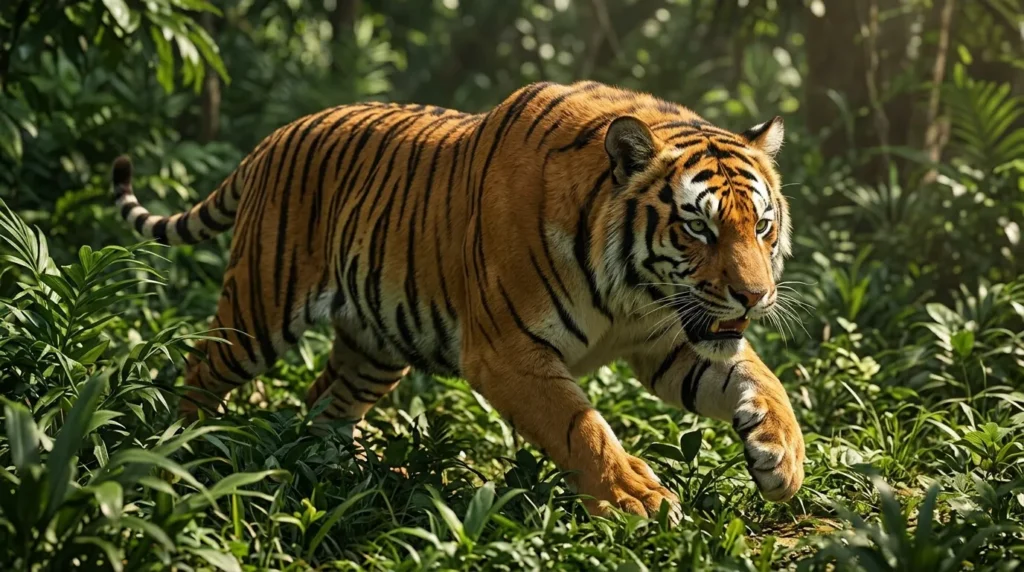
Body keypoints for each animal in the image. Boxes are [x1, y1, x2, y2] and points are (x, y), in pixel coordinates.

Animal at [111, 80, 805, 518]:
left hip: (377, 343)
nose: (755, 295)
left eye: (761, 226)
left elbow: (763, 380)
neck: (633, 292)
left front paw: (783, 457)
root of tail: (278, 134)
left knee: (324, 398)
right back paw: (186, 450)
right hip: (261, 307)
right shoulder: (507, 353)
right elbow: (581, 425)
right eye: (698, 227)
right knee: (201, 367)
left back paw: (346, 471)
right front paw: (635, 497)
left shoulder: (668, 340)